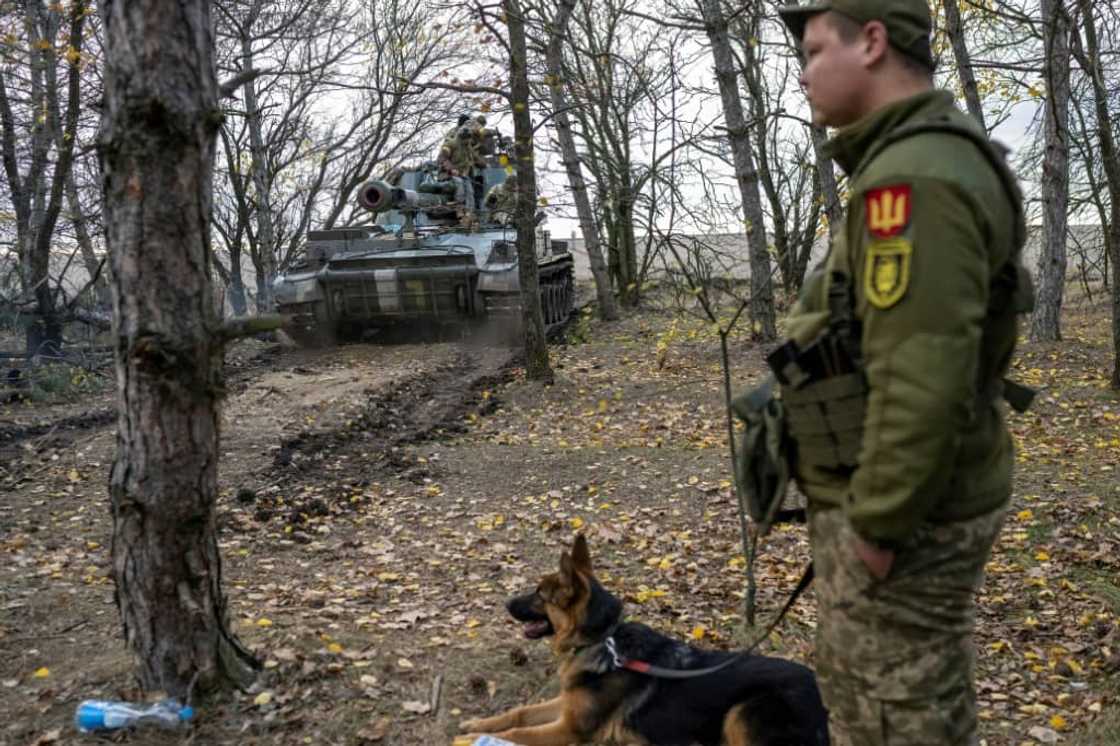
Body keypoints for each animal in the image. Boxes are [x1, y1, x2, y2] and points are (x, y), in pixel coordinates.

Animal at [459, 530, 828, 739]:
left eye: (539, 594)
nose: (505, 602)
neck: (603, 641)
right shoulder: (568, 706)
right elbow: (518, 714)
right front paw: (476, 725)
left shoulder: (570, 729)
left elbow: (518, 731)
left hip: (743, 712)